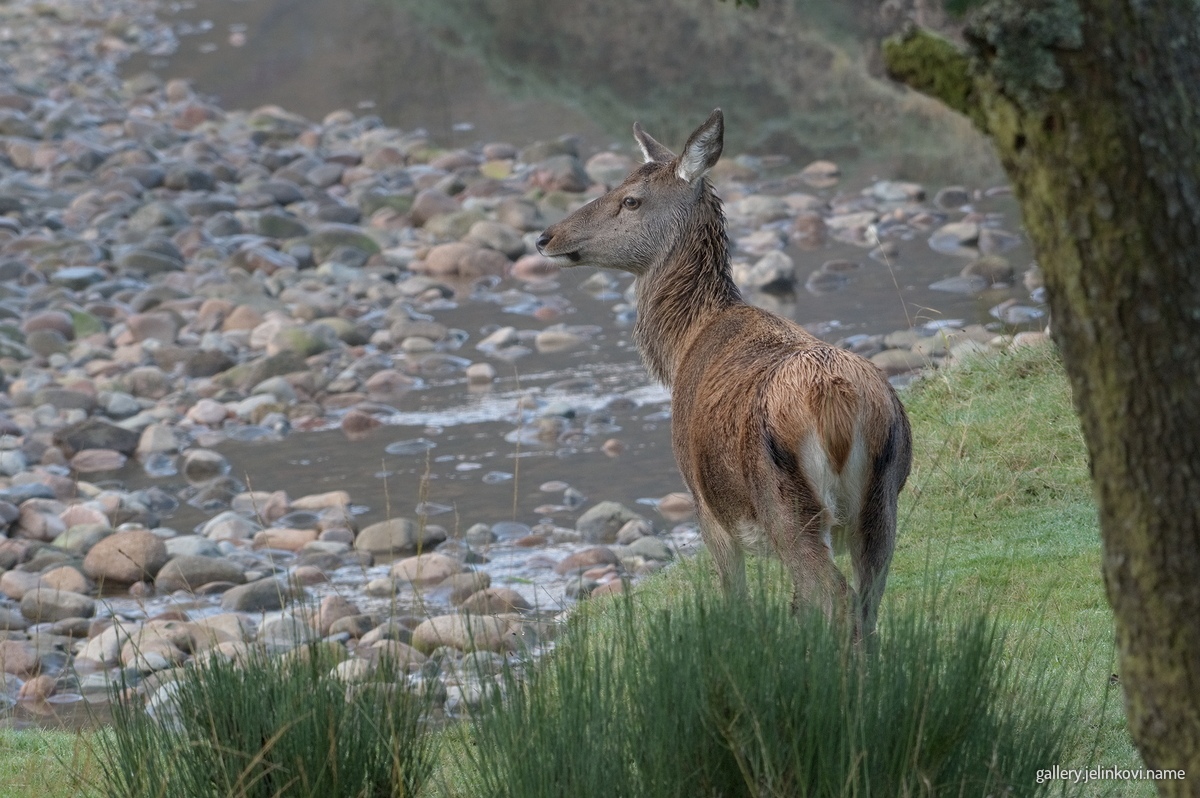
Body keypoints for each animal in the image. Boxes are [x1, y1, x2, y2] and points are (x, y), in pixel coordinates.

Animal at [536, 109, 912, 636]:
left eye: (630, 199)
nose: (545, 236)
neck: (682, 348)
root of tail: (837, 402)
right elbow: (797, 608)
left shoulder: (705, 506)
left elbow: (736, 599)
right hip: (884, 500)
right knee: (866, 604)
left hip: (787, 508)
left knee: (838, 599)